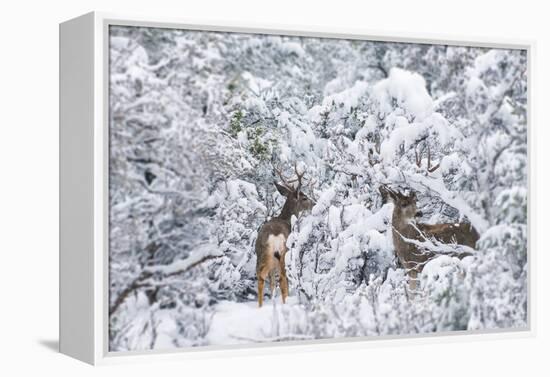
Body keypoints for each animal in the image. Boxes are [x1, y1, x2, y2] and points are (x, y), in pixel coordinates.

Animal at [256, 163, 314, 306]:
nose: (314, 203)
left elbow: (271, 283)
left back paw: (260, 306)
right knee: (282, 278)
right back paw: (285, 302)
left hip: (262, 254)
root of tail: (274, 236)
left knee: (261, 276)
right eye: (304, 197)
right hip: (284, 254)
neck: (285, 219)